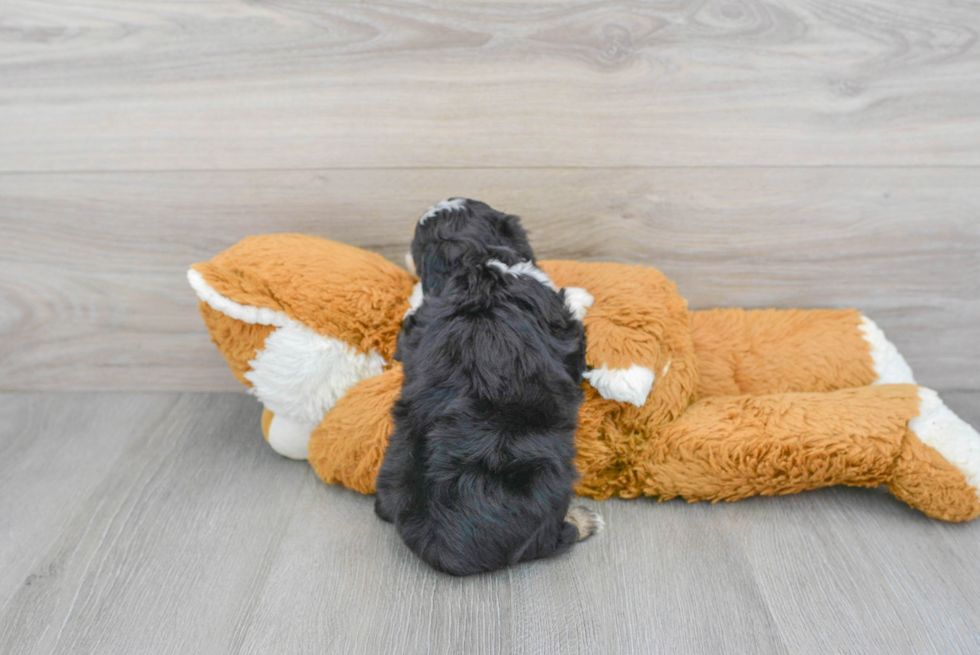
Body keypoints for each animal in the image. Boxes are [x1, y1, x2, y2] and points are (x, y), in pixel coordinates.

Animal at [378, 197, 600, 576]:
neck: (471, 260)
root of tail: (446, 545)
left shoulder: (416, 329)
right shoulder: (565, 329)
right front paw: (581, 295)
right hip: (551, 482)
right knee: (553, 538)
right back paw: (584, 521)